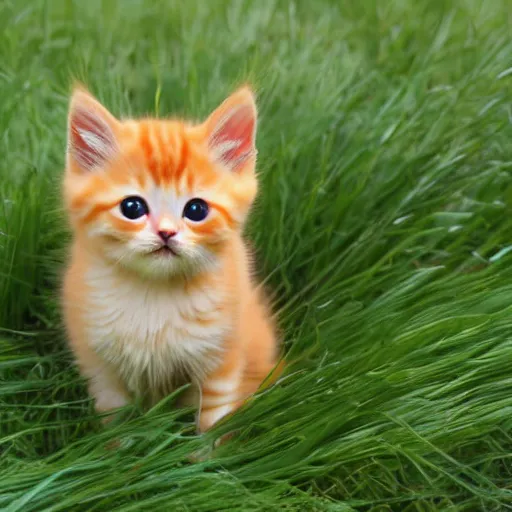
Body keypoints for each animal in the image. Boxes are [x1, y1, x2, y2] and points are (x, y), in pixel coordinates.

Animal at [64, 85, 282, 432]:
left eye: (196, 210)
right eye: (132, 208)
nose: (166, 232)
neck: (154, 293)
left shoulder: (222, 361)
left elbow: (214, 422)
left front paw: (208, 448)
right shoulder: (100, 366)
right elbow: (115, 423)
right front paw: (117, 448)